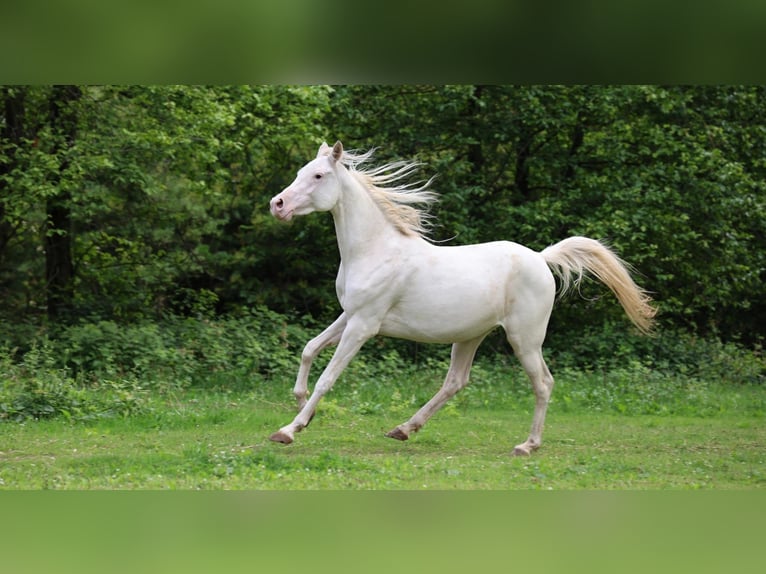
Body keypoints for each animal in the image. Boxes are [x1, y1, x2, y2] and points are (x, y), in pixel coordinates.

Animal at [268, 141, 656, 455]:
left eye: (318, 175)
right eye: (300, 172)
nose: (277, 204)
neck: (376, 250)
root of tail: (541, 258)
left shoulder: (363, 325)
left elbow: (328, 377)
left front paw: (289, 430)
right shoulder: (349, 315)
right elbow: (309, 349)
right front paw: (301, 405)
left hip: (524, 338)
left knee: (543, 383)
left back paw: (527, 445)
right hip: (470, 336)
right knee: (455, 382)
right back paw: (403, 429)